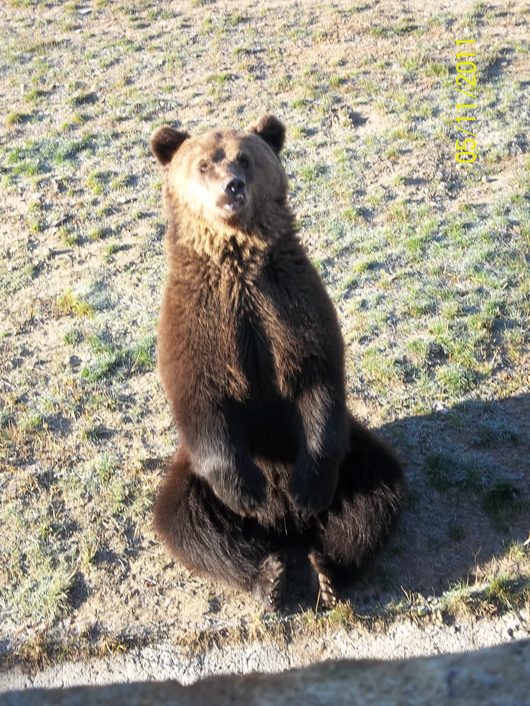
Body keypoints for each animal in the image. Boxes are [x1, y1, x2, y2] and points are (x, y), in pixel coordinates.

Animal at [148, 114, 404, 604]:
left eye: (244, 158)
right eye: (204, 163)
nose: (231, 186)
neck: (237, 264)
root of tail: (286, 530)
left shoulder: (289, 307)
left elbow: (317, 378)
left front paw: (307, 492)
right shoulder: (202, 324)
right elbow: (200, 398)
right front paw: (249, 495)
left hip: (355, 457)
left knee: (375, 493)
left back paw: (327, 566)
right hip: (192, 479)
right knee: (186, 521)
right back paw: (269, 574)